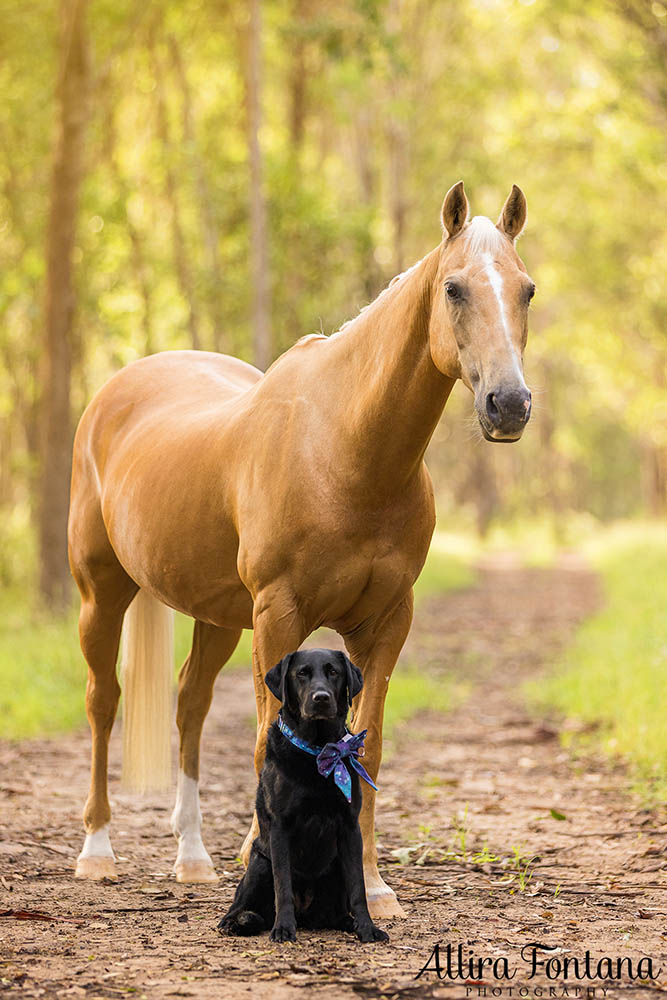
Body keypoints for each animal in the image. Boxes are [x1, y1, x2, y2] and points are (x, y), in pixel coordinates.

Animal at [217, 648, 388, 944]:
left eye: (333, 672)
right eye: (301, 673)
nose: (321, 698)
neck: (318, 750)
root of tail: (307, 913)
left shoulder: (350, 827)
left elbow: (358, 887)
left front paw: (367, 928)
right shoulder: (280, 827)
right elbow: (283, 885)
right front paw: (284, 928)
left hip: (335, 866)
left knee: (334, 912)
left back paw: (347, 922)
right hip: (260, 863)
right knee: (238, 907)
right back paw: (239, 922)